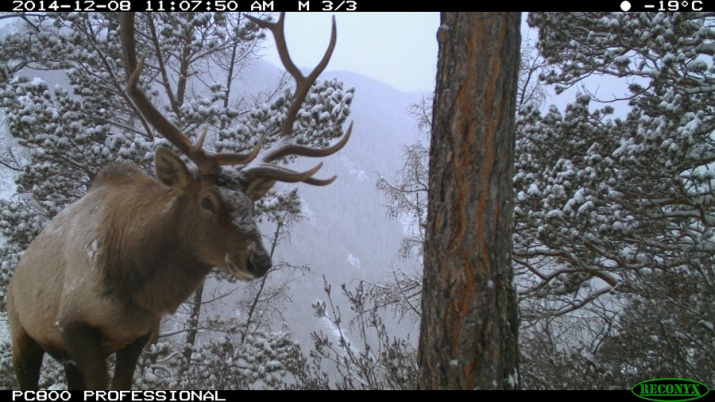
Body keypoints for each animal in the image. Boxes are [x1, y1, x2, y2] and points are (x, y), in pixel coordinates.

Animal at [5, 12, 352, 390]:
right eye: (206, 201)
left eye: (251, 205)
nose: (258, 260)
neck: (136, 291)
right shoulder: (73, 326)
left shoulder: (138, 335)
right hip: (22, 330)